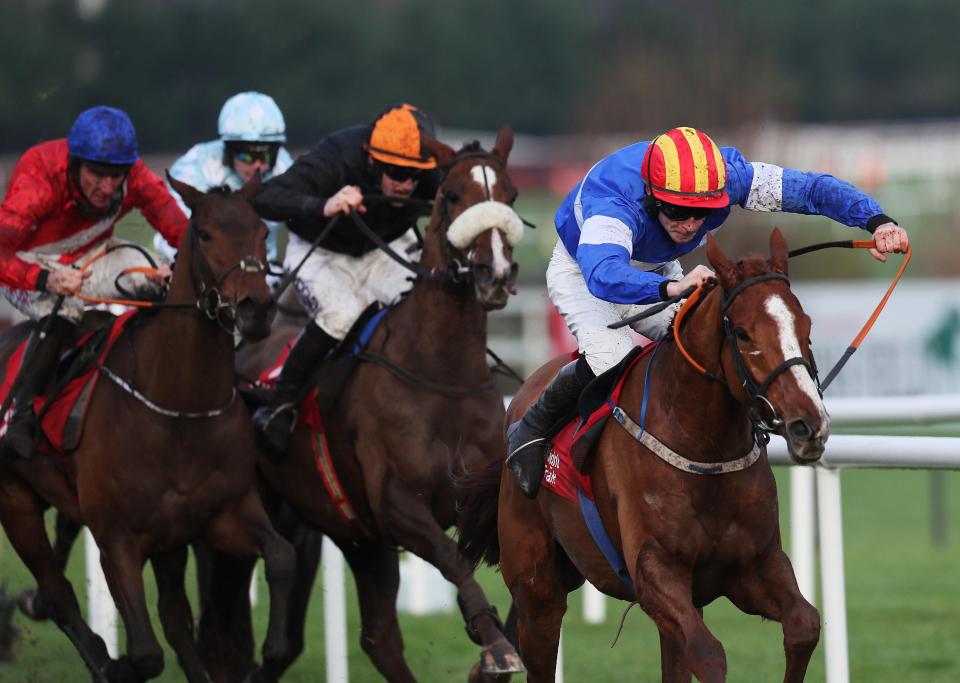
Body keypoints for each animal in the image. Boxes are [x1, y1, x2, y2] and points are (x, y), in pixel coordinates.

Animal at [0, 178, 292, 683]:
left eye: (260, 231)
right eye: (206, 234)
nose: (256, 308)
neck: (178, 409)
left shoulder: (223, 514)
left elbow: (279, 555)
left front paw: (270, 653)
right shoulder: (117, 538)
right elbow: (144, 654)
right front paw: (113, 665)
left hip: (168, 537)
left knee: (174, 616)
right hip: (15, 502)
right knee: (58, 594)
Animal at [458, 231, 824, 683]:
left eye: (806, 326)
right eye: (742, 333)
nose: (808, 424)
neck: (704, 450)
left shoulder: (753, 563)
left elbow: (804, 625)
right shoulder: (655, 570)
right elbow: (709, 654)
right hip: (536, 586)